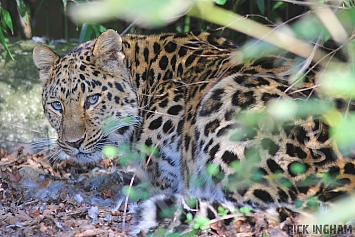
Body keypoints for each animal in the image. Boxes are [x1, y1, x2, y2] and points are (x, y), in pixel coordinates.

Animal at [32, 28, 355, 234]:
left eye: (92, 99)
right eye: (56, 105)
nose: (73, 143)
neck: (145, 80)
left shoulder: (169, 179)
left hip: (227, 100)